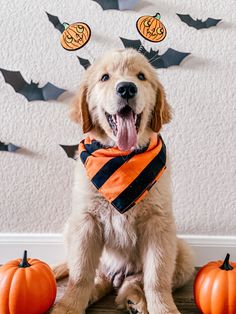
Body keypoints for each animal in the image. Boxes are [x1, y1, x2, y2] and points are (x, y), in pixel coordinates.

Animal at [52, 49, 195, 314]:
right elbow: (80, 274)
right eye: (104, 77)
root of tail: (117, 276)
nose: (127, 88)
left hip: (184, 253)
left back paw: (133, 299)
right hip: (71, 229)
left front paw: (163, 308)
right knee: (98, 277)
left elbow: (157, 277)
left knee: (136, 280)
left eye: (141, 76)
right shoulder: (85, 221)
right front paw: (69, 305)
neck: (122, 157)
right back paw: (93, 293)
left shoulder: (158, 223)